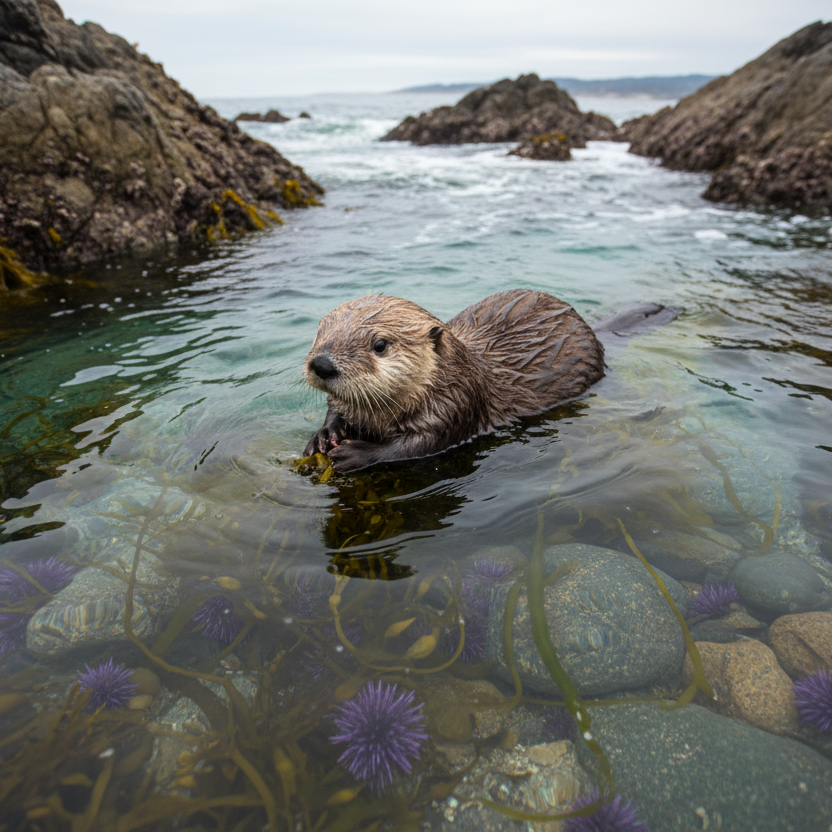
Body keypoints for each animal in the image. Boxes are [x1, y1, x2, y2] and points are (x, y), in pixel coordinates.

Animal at [303, 289, 606, 472]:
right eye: (320, 330)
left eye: (379, 345)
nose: (322, 364)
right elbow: (335, 407)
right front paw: (323, 436)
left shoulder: (455, 403)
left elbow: (416, 446)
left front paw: (355, 454)